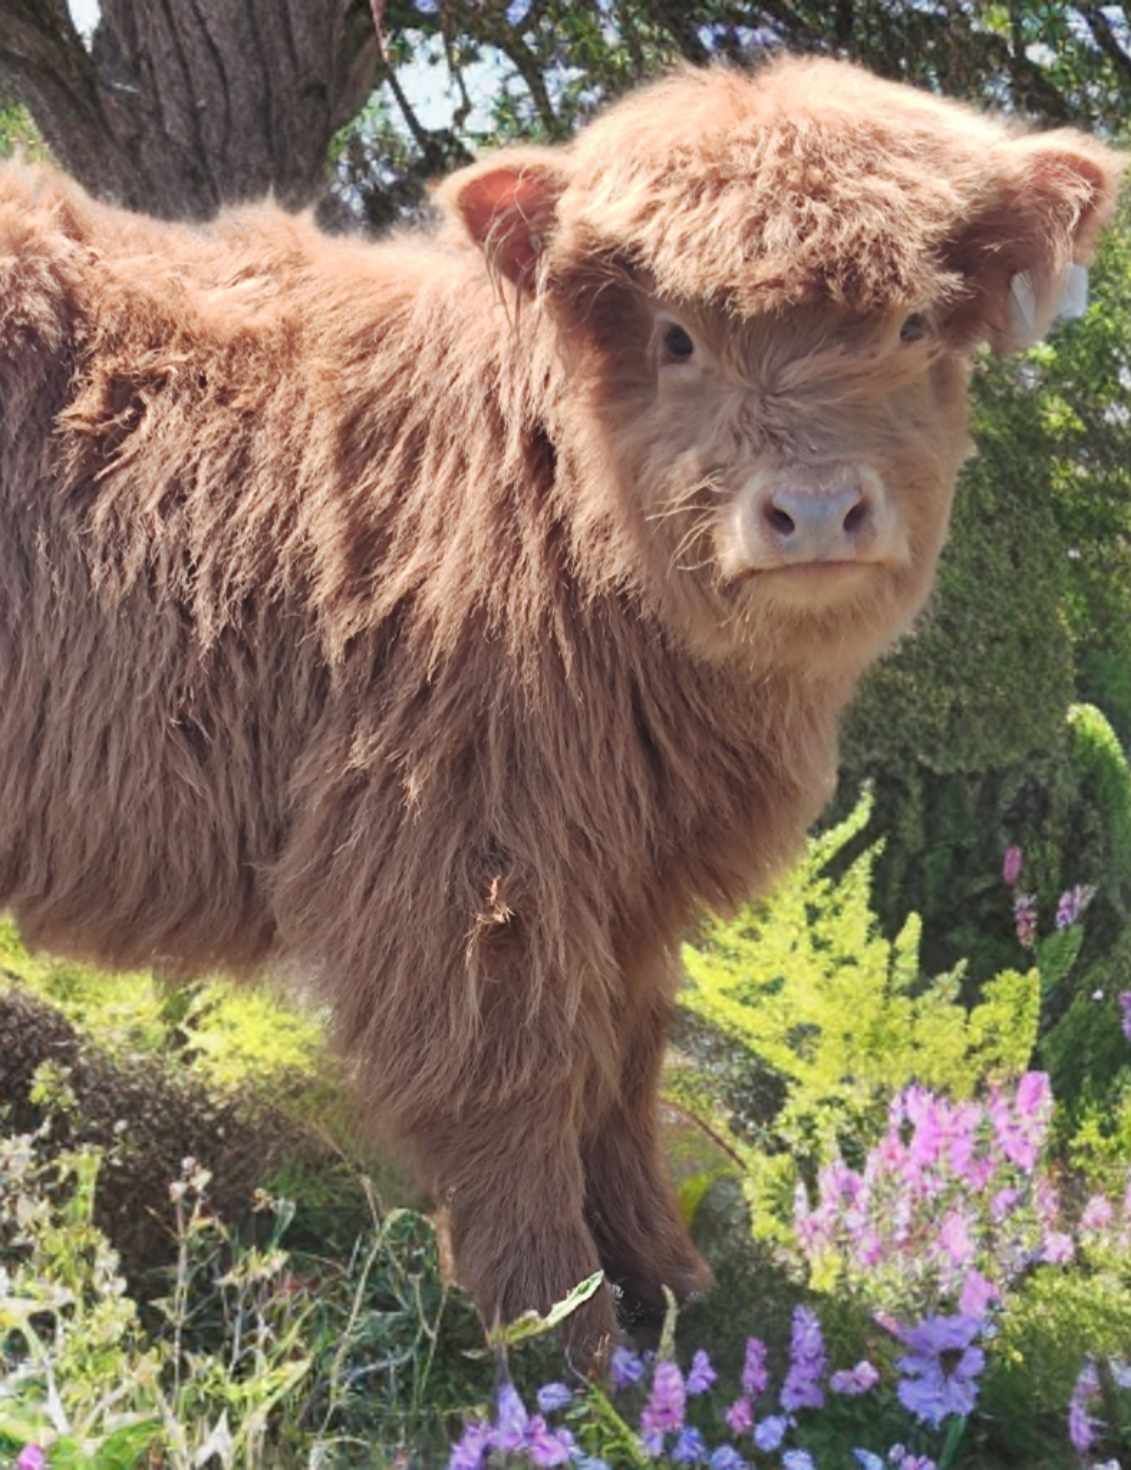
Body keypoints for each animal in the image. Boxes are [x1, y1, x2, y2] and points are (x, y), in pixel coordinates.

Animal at [0, 63, 1117, 1358]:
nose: (815, 510)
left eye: (911, 326)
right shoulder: (462, 852)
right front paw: (564, 1338)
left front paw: (673, 1282)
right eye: (676, 336)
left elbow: (623, 1067)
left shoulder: (626, 873)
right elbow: (516, 1079)